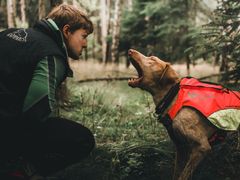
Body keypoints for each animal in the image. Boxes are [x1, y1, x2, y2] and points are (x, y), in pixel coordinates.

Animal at [127, 48, 240, 180]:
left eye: (152, 59)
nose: (130, 50)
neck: (173, 97)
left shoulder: (201, 147)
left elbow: (183, 175)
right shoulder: (180, 148)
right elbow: (176, 173)